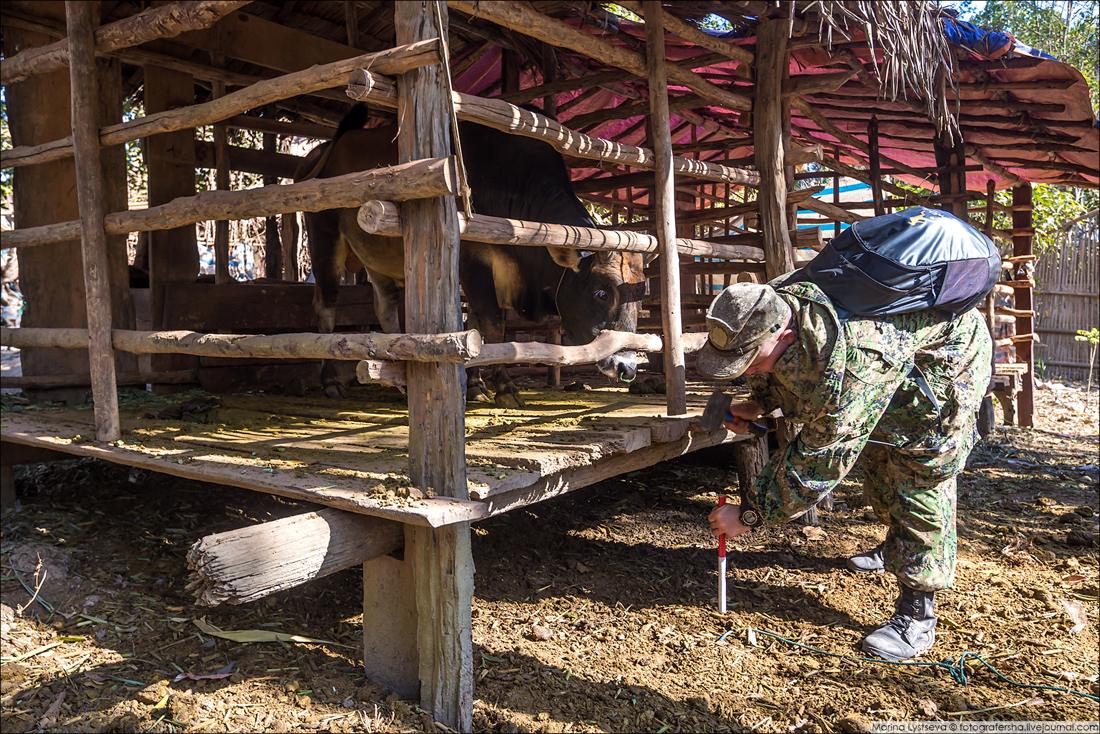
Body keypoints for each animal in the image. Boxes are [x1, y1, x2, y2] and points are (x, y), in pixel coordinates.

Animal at [297, 103, 646, 404]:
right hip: (324, 237)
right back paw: (331, 382)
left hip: (377, 259)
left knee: (386, 308)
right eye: (602, 293)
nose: (627, 366)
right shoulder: (472, 262)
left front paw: (478, 386)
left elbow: (476, 323)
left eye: (640, 297)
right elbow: (491, 324)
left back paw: (401, 378)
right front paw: (504, 387)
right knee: (326, 306)